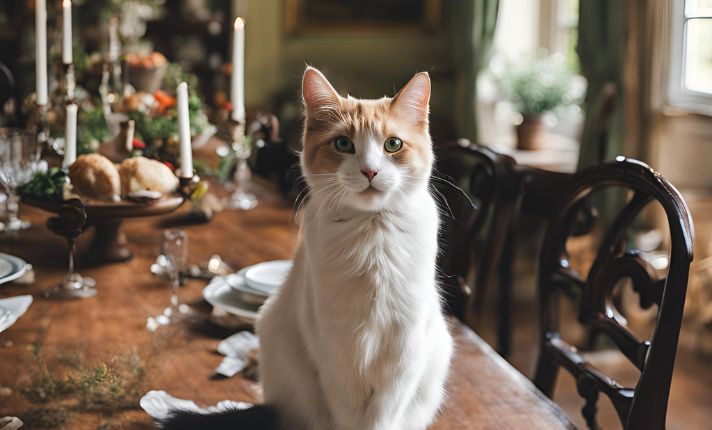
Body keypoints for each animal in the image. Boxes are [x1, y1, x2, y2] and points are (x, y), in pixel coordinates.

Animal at [159, 65, 454, 428]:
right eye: (343, 144)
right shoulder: (336, 361)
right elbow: (350, 419)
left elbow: (381, 420)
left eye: (393, 144)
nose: (370, 171)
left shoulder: (401, 359)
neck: (371, 236)